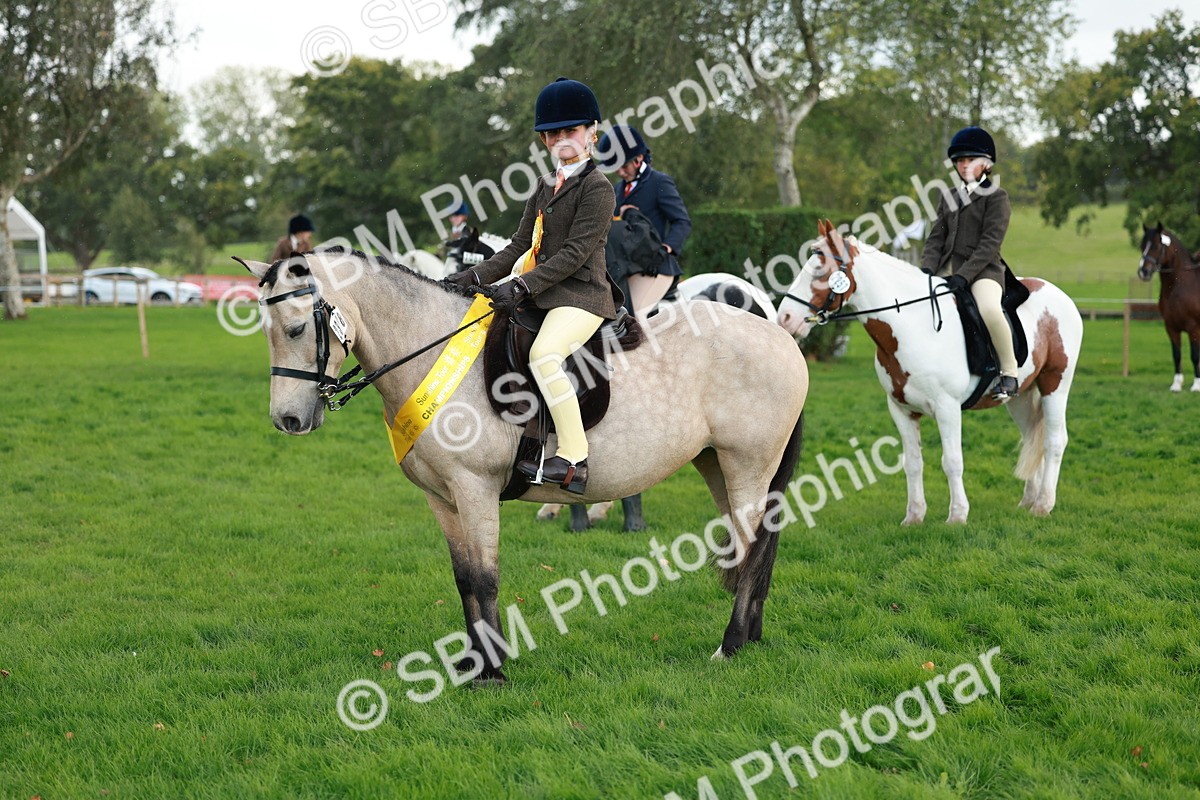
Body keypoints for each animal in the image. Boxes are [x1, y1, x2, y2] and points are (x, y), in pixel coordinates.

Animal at [239, 248, 808, 680]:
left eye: (296, 329)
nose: (287, 419)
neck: (432, 349)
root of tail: (779, 336)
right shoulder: (442, 498)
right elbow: (464, 578)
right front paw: (472, 665)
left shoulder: (474, 489)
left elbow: (486, 578)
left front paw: (493, 672)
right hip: (716, 465)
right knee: (754, 543)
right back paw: (751, 640)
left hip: (748, 465)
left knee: (754, 548)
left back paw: (730, 646)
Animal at [777, 220, 1082, 524]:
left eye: (820, 270)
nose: (785, 318)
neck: (912, 325)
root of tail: (1061, 295)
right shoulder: (901, 410)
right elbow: (912, 463)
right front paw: (914, 516)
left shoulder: (948, 408)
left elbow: (952, 461)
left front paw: (957, 515)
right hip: (1020, 396)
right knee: (1031, 437)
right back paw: (1028, 502)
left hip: (1055, 385)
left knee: (1054, 441)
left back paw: (1043, 504)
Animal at [1137, 223, 1200, 392]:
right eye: (1143, 246)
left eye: (1157, 246)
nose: (1143, 272)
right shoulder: (1171, 327)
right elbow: (1176, 354)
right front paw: (1176, 385)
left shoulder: (1194, 328)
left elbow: (1194, 355)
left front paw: (1196, 385)